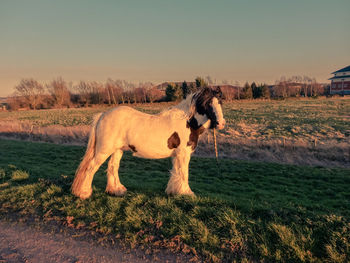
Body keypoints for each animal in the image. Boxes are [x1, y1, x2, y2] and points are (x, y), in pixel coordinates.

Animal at [71, 87, 226, 200]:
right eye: (208, 103)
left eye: (220, 102)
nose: (221, 124)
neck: (188, 122)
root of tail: (102, 115)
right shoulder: (183, 153)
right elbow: (183, 173)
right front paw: (187, 193)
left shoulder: (177, 155)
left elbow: (176, 172)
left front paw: (174, 191)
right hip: (104, 150)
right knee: (91, 167)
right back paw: (84, 193)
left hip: (117, 150)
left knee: (112, 167)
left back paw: (116, 190)